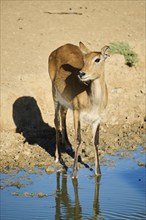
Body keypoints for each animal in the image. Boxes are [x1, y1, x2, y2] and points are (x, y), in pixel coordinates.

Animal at [48, 42, 109, 178]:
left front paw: (98, 172)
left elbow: (96, 141)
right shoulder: (77, 113)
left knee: (63, 113)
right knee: (56, 120)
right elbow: (78, 139)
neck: (92, 101)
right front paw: (74, 173)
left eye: (97, 59)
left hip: (65, 102)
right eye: (84, 59)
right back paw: (57, 156)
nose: (82, 74)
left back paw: (67, 145)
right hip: (55, 95)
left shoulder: (97, 118)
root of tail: (61, 47)